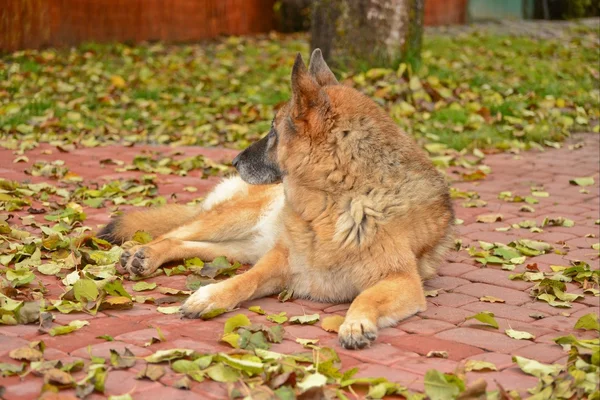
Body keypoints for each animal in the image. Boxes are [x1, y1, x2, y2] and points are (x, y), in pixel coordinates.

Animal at [99, 50, 454, 348]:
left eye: (272, 131)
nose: (235, 161)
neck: (337, 199)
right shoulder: (279, 259)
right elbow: (245, 280)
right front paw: (211, 295)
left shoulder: (402, 281)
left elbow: (364, 298)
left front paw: (356, 324)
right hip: (236, 219)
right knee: (174, 233)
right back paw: (142, 252)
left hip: (240, 246)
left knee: (188, 244)